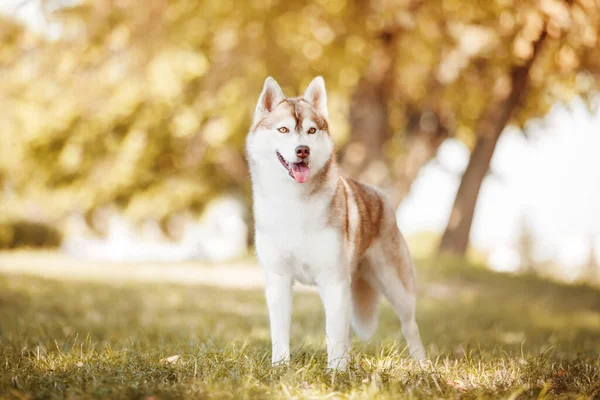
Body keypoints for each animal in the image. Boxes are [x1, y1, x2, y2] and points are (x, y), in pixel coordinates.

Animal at [245, 76, 426, 370]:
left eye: (311, 130)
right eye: (283, 129)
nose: (302, 150)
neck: (293, 202)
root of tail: (380, 194)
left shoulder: (333, 280)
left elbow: (334, 334)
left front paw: (336, 372)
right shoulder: (279, 279)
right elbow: (281, 332)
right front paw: (280, 368)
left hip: (397, 286)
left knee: (410, 325)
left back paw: (422, 364)